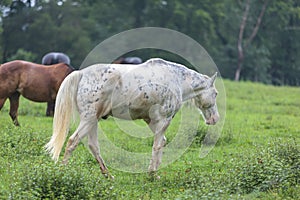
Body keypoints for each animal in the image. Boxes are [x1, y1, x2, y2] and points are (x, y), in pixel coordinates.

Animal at [45, 57, 220, 178]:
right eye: (216, 93)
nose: (215, 119)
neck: (177, 79)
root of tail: (81, 74)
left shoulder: (152, 121)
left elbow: (161, 142)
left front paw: (155, 172)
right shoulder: (164, 120)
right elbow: (157, 145)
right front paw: (152, 174)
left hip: (93, 121)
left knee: (93, 146)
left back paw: (108, 175)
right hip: (88, 120)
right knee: (72, 141)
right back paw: (64, 171)